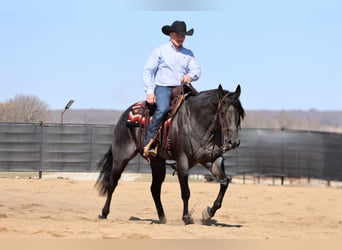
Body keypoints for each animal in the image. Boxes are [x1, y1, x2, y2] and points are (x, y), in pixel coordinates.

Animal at [96, 84, 244, 225]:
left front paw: (208, 213)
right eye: (222, 112)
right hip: (121, 157)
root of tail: (126, 114)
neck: (196, 122)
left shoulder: (212, 160)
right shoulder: (182, 161)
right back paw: (104, 213)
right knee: (112, 182)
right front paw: (186, 217)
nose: (233, 142)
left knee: (155, 188)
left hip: (157, 162)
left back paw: (162, 217)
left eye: (239, 113)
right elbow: (185, 192)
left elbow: (224, 182)